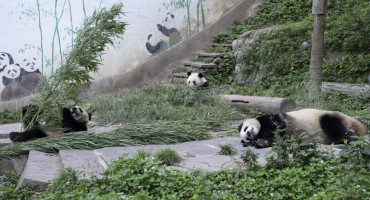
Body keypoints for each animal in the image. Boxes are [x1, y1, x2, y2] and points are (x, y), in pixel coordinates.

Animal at [238, 108, 366, 148]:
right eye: (246, 137)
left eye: (245, 128)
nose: (249, 133)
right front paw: (259, 142)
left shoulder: (273, 119)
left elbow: (279, 128)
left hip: (332, 117)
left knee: (329, 122)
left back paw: (335, 139)